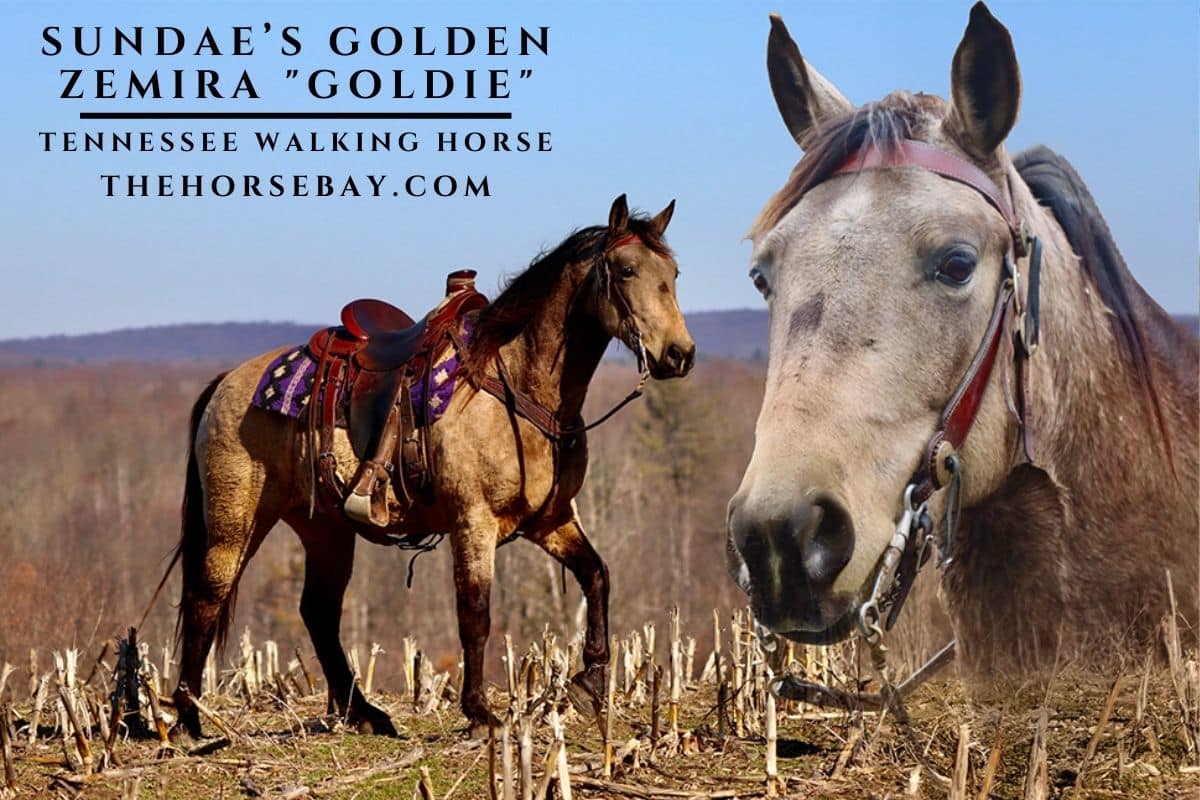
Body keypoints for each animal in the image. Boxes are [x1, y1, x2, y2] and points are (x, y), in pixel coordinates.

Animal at [170, 194, 695, 738]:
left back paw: (364, 713)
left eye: (673, 273)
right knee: (207, 596)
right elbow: (476, 613)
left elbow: (597, 575)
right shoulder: (473, 522)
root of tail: (226, 382)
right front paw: (480, 711)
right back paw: (190, 716)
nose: (679, 353)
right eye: (627, 269)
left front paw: (588, 680)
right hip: (235, 521)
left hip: (324, 528)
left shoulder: (550, 519)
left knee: (318, 611)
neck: (514, 385)